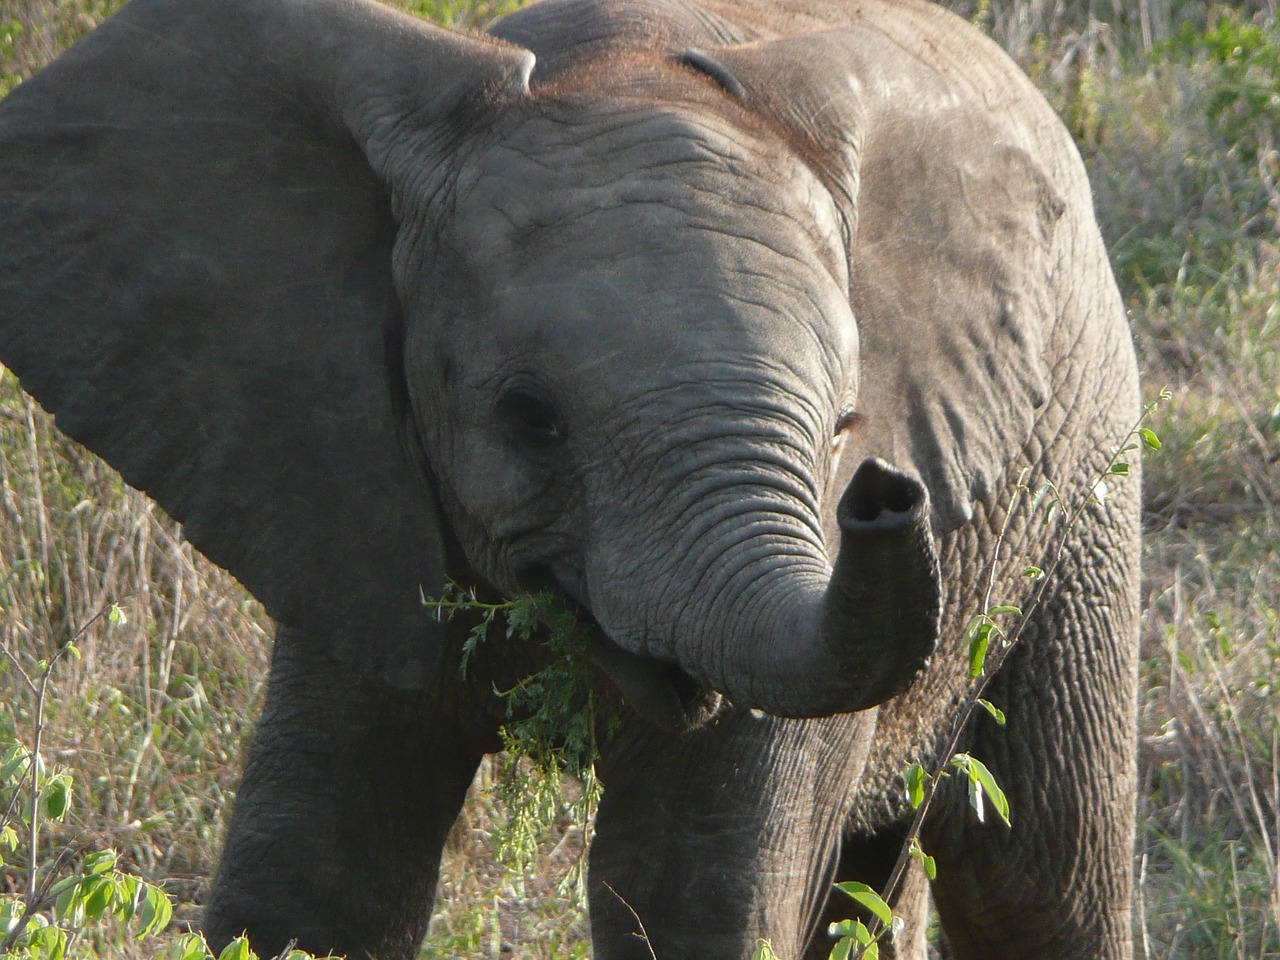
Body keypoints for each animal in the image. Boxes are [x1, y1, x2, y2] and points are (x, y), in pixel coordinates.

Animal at [0, 1, 1141, 960]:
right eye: (530, 419)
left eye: (841, 433)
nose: (889, 497)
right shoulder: (345, 484)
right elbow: (320, 860)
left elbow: (688, 890)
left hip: (1086, 469)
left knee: (1043, 872)